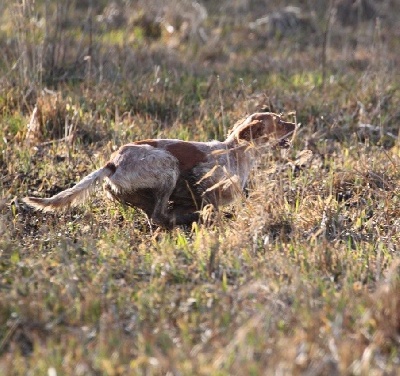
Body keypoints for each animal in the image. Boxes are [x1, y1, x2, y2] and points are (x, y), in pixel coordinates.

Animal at [23, 111, 296, 229]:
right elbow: (210, 205)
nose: (295, 124)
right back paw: (185, 219)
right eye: (279, 122)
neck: (235, 152)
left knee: (155, 216)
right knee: (158, 215)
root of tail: (111, 164)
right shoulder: (203, 180)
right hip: (168, 167)